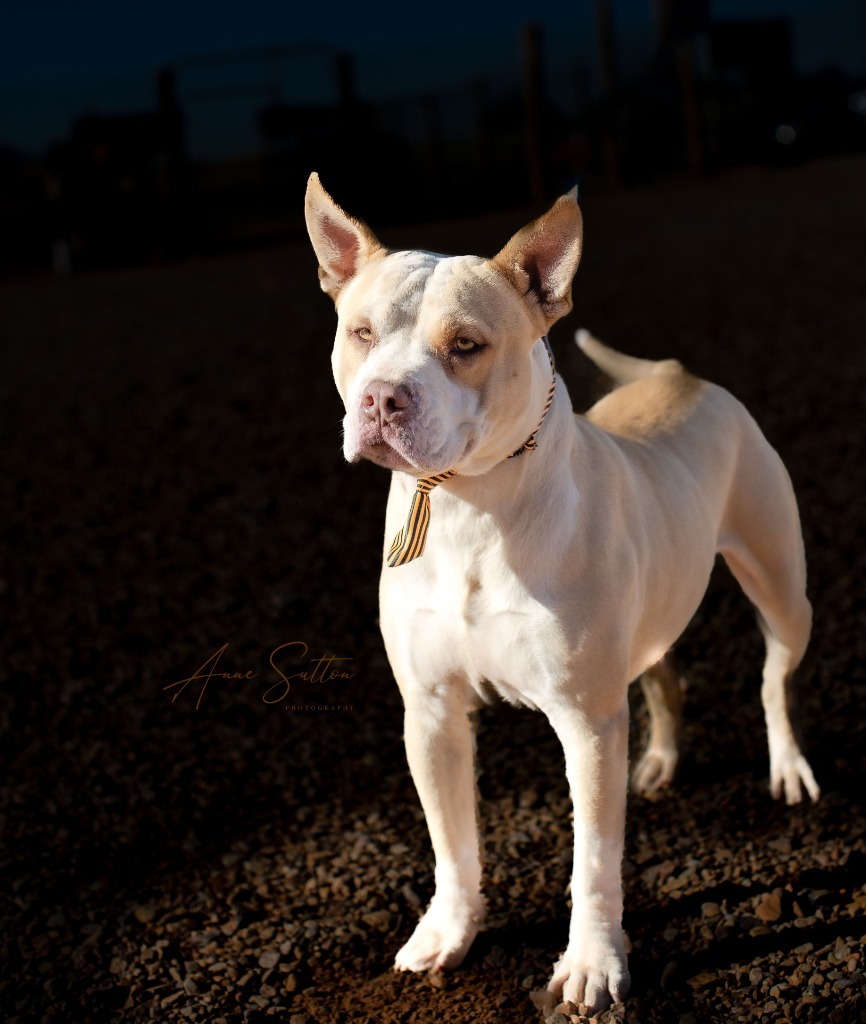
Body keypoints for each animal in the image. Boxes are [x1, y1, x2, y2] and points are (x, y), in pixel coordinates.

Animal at [305, 176, 818, 1015]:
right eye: (361, 332)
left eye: (466, 346)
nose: (380, 400)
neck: (470, 507)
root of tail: (677, 374)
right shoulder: (432, 712)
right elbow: (452, 843)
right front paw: (448, 933)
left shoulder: (586, 723)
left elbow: (594, 862)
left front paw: (591, 965)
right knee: (664, 675)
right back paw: (661, 760)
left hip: (783, 593)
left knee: (775, 678)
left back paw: (787, 766)